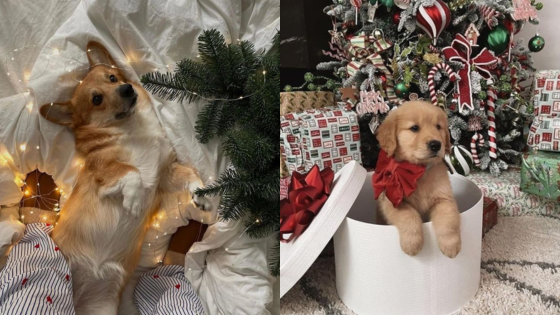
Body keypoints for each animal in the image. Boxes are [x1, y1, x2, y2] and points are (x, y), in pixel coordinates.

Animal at [39, 42, 213, 315]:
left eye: (112, 78)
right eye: (97, 99)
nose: (126, 88)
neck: (133, 128)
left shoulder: (166, 174)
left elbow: (190, 173)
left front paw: (200, 194)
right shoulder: (104, 171)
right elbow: (132, 173)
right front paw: (134, 200)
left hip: (104, 306)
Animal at [374, 102, 462, 260]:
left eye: (438, 127)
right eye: (414, 128)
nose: (436, 145)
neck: (418, 173)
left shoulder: (444, 199)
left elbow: (448, 220)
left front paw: (450, 245)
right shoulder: (393, 203)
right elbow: (409, 215)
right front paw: (412, 244)